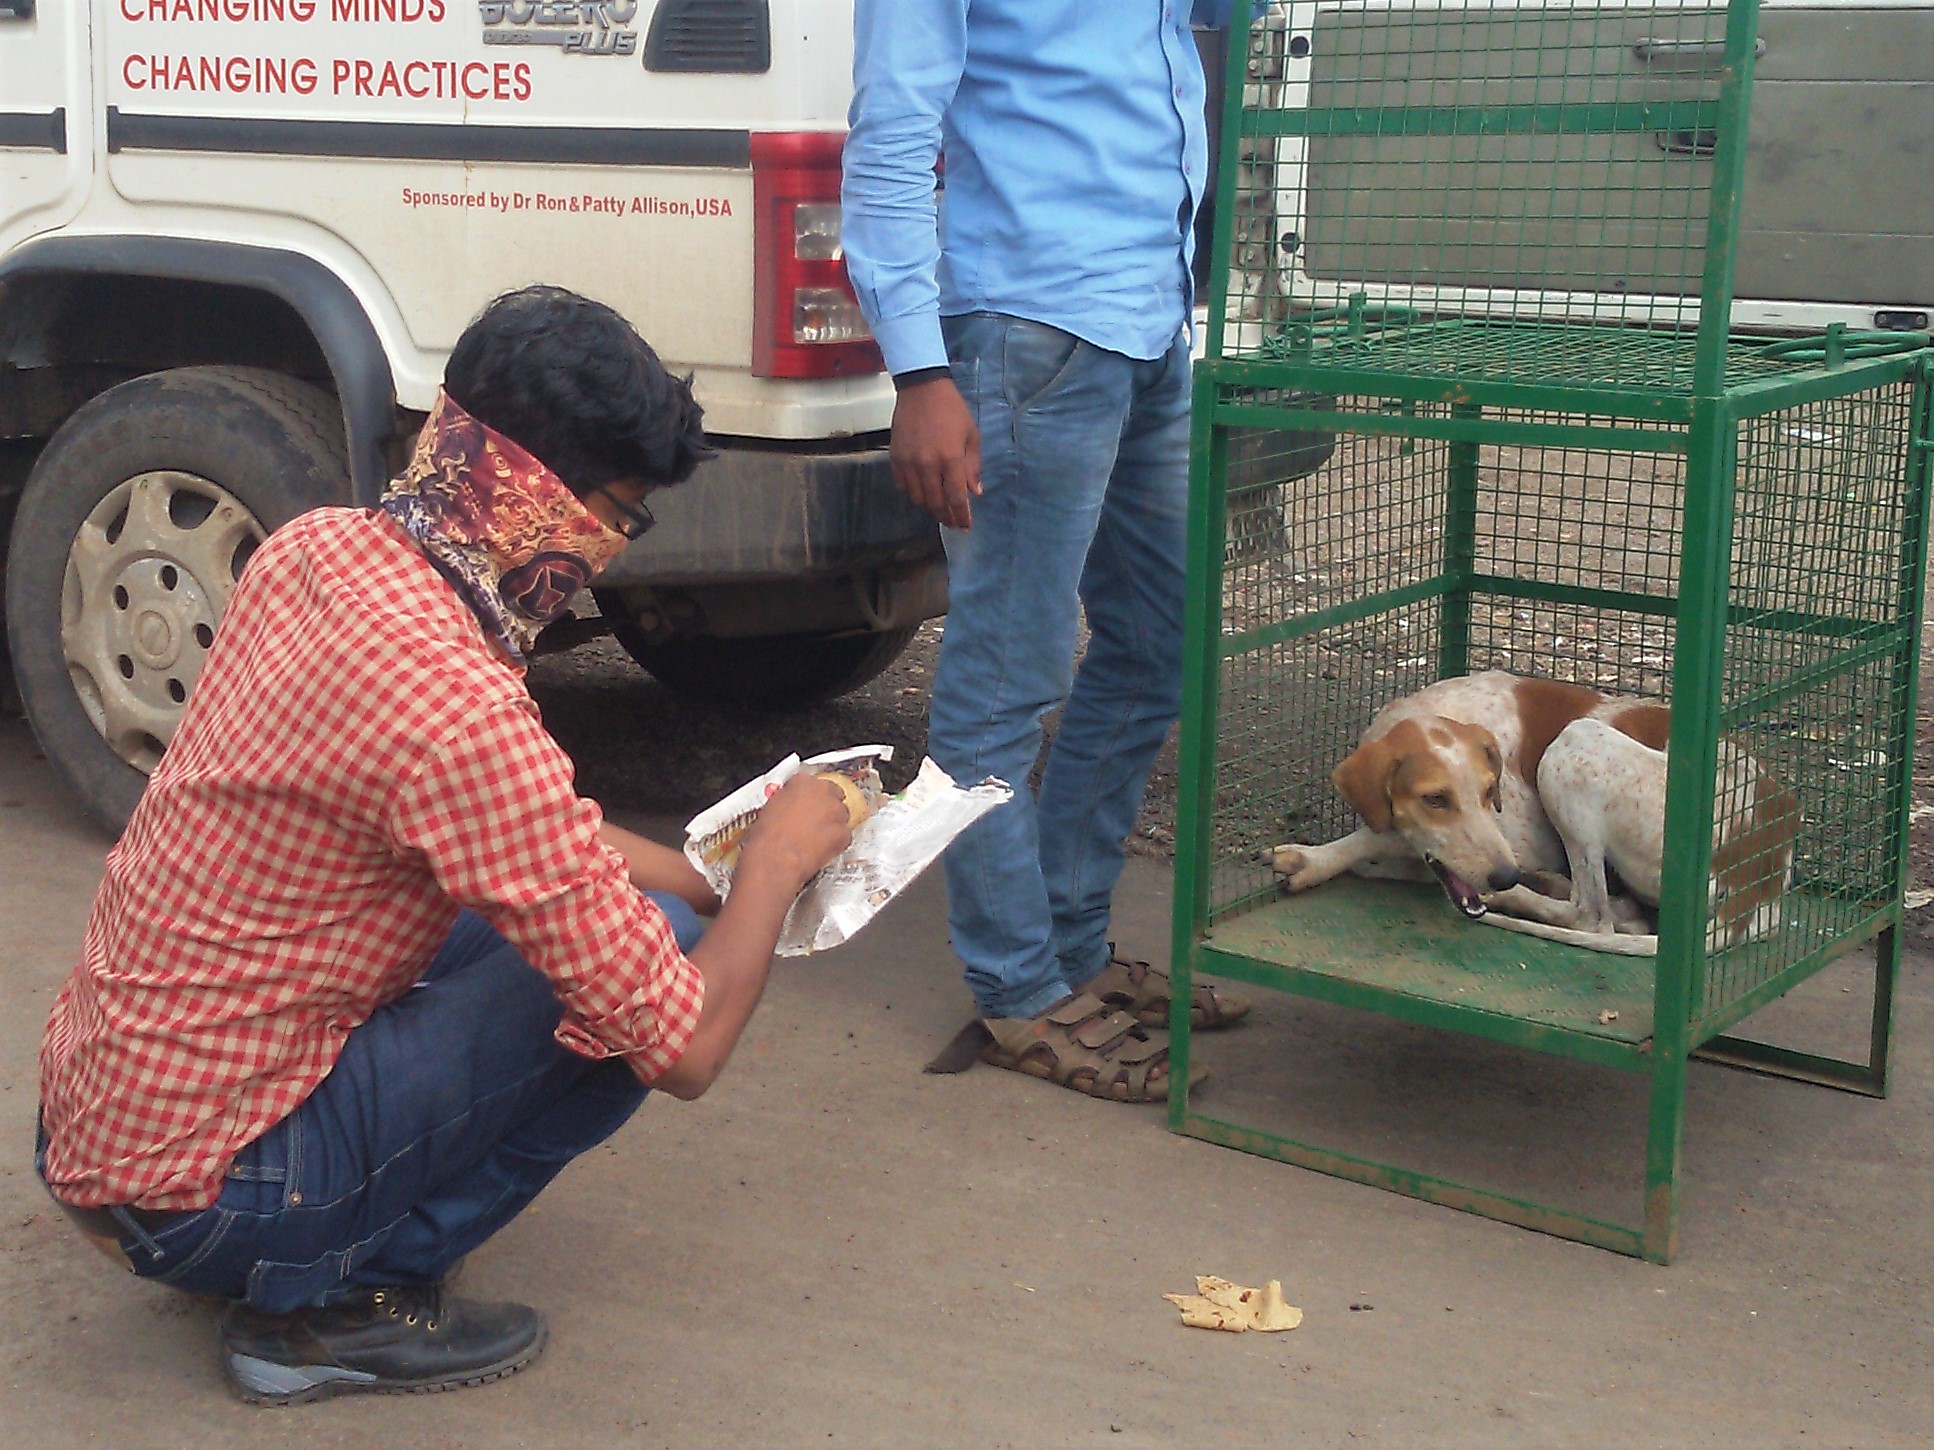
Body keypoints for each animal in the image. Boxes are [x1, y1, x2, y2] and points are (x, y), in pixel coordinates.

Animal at [1268, 676, 1794, 958]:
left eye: (1489, 793)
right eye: (1434, 800)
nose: (1505, 875)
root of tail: (1761, 882)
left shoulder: (1517, 842)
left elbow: (1376, 841)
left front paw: (1313, 859)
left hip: (1574, 745)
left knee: (1591, 916)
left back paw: (1530, 894)